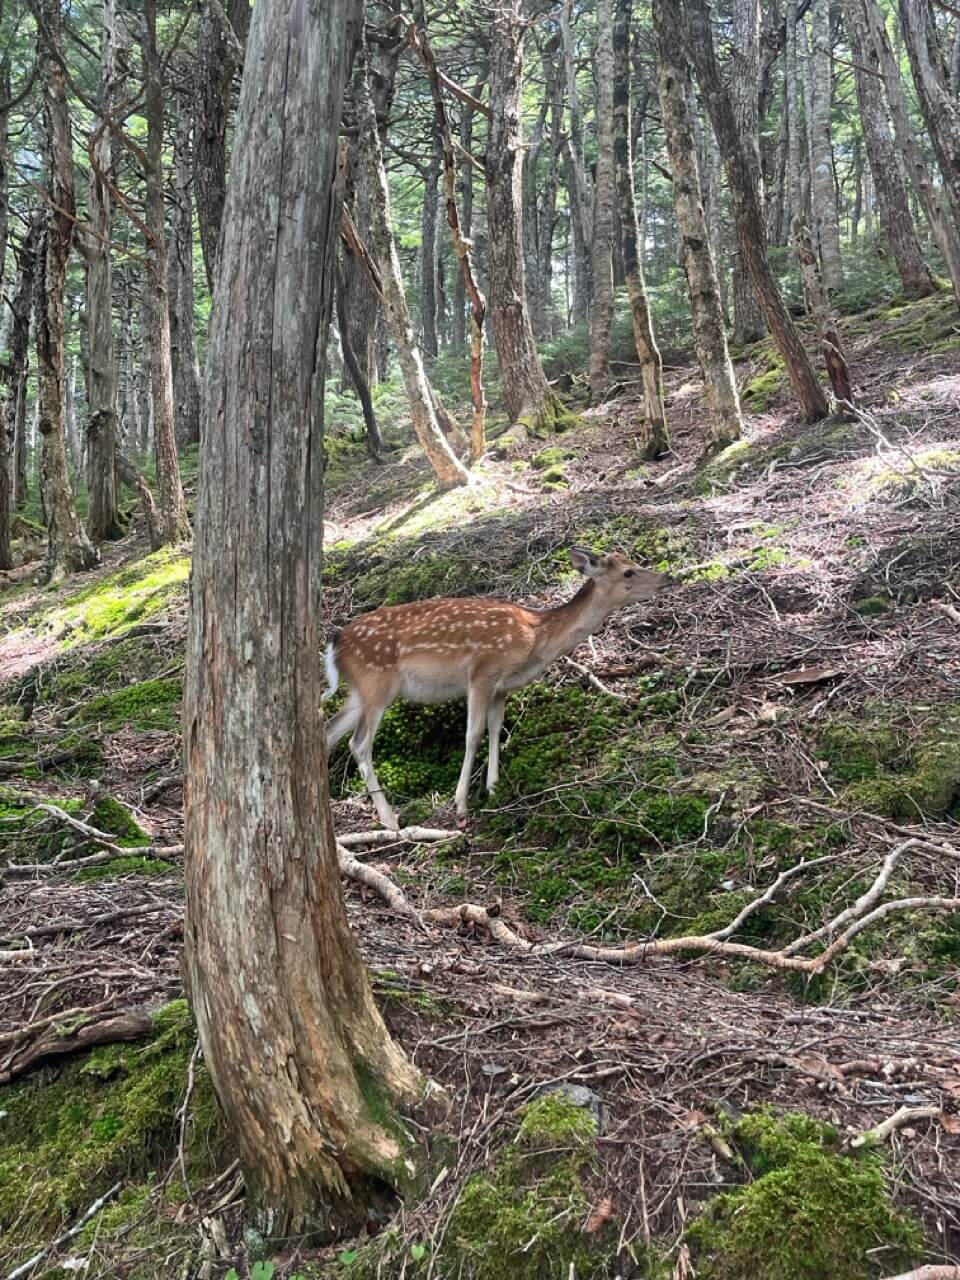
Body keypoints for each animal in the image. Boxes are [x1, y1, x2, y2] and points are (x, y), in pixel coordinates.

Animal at [323, 547, 670, 829]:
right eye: (628, 571)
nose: (668, 578)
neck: (534, 639)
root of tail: (336, 643)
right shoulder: (482, 673)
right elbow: (473, 734)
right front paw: (461, 803)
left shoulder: (502, 687)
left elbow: (495, 729)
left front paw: (493, 788)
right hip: (377, 682)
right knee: (359, 743)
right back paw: (389, 818)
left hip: (359, 692)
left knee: (328, 732)